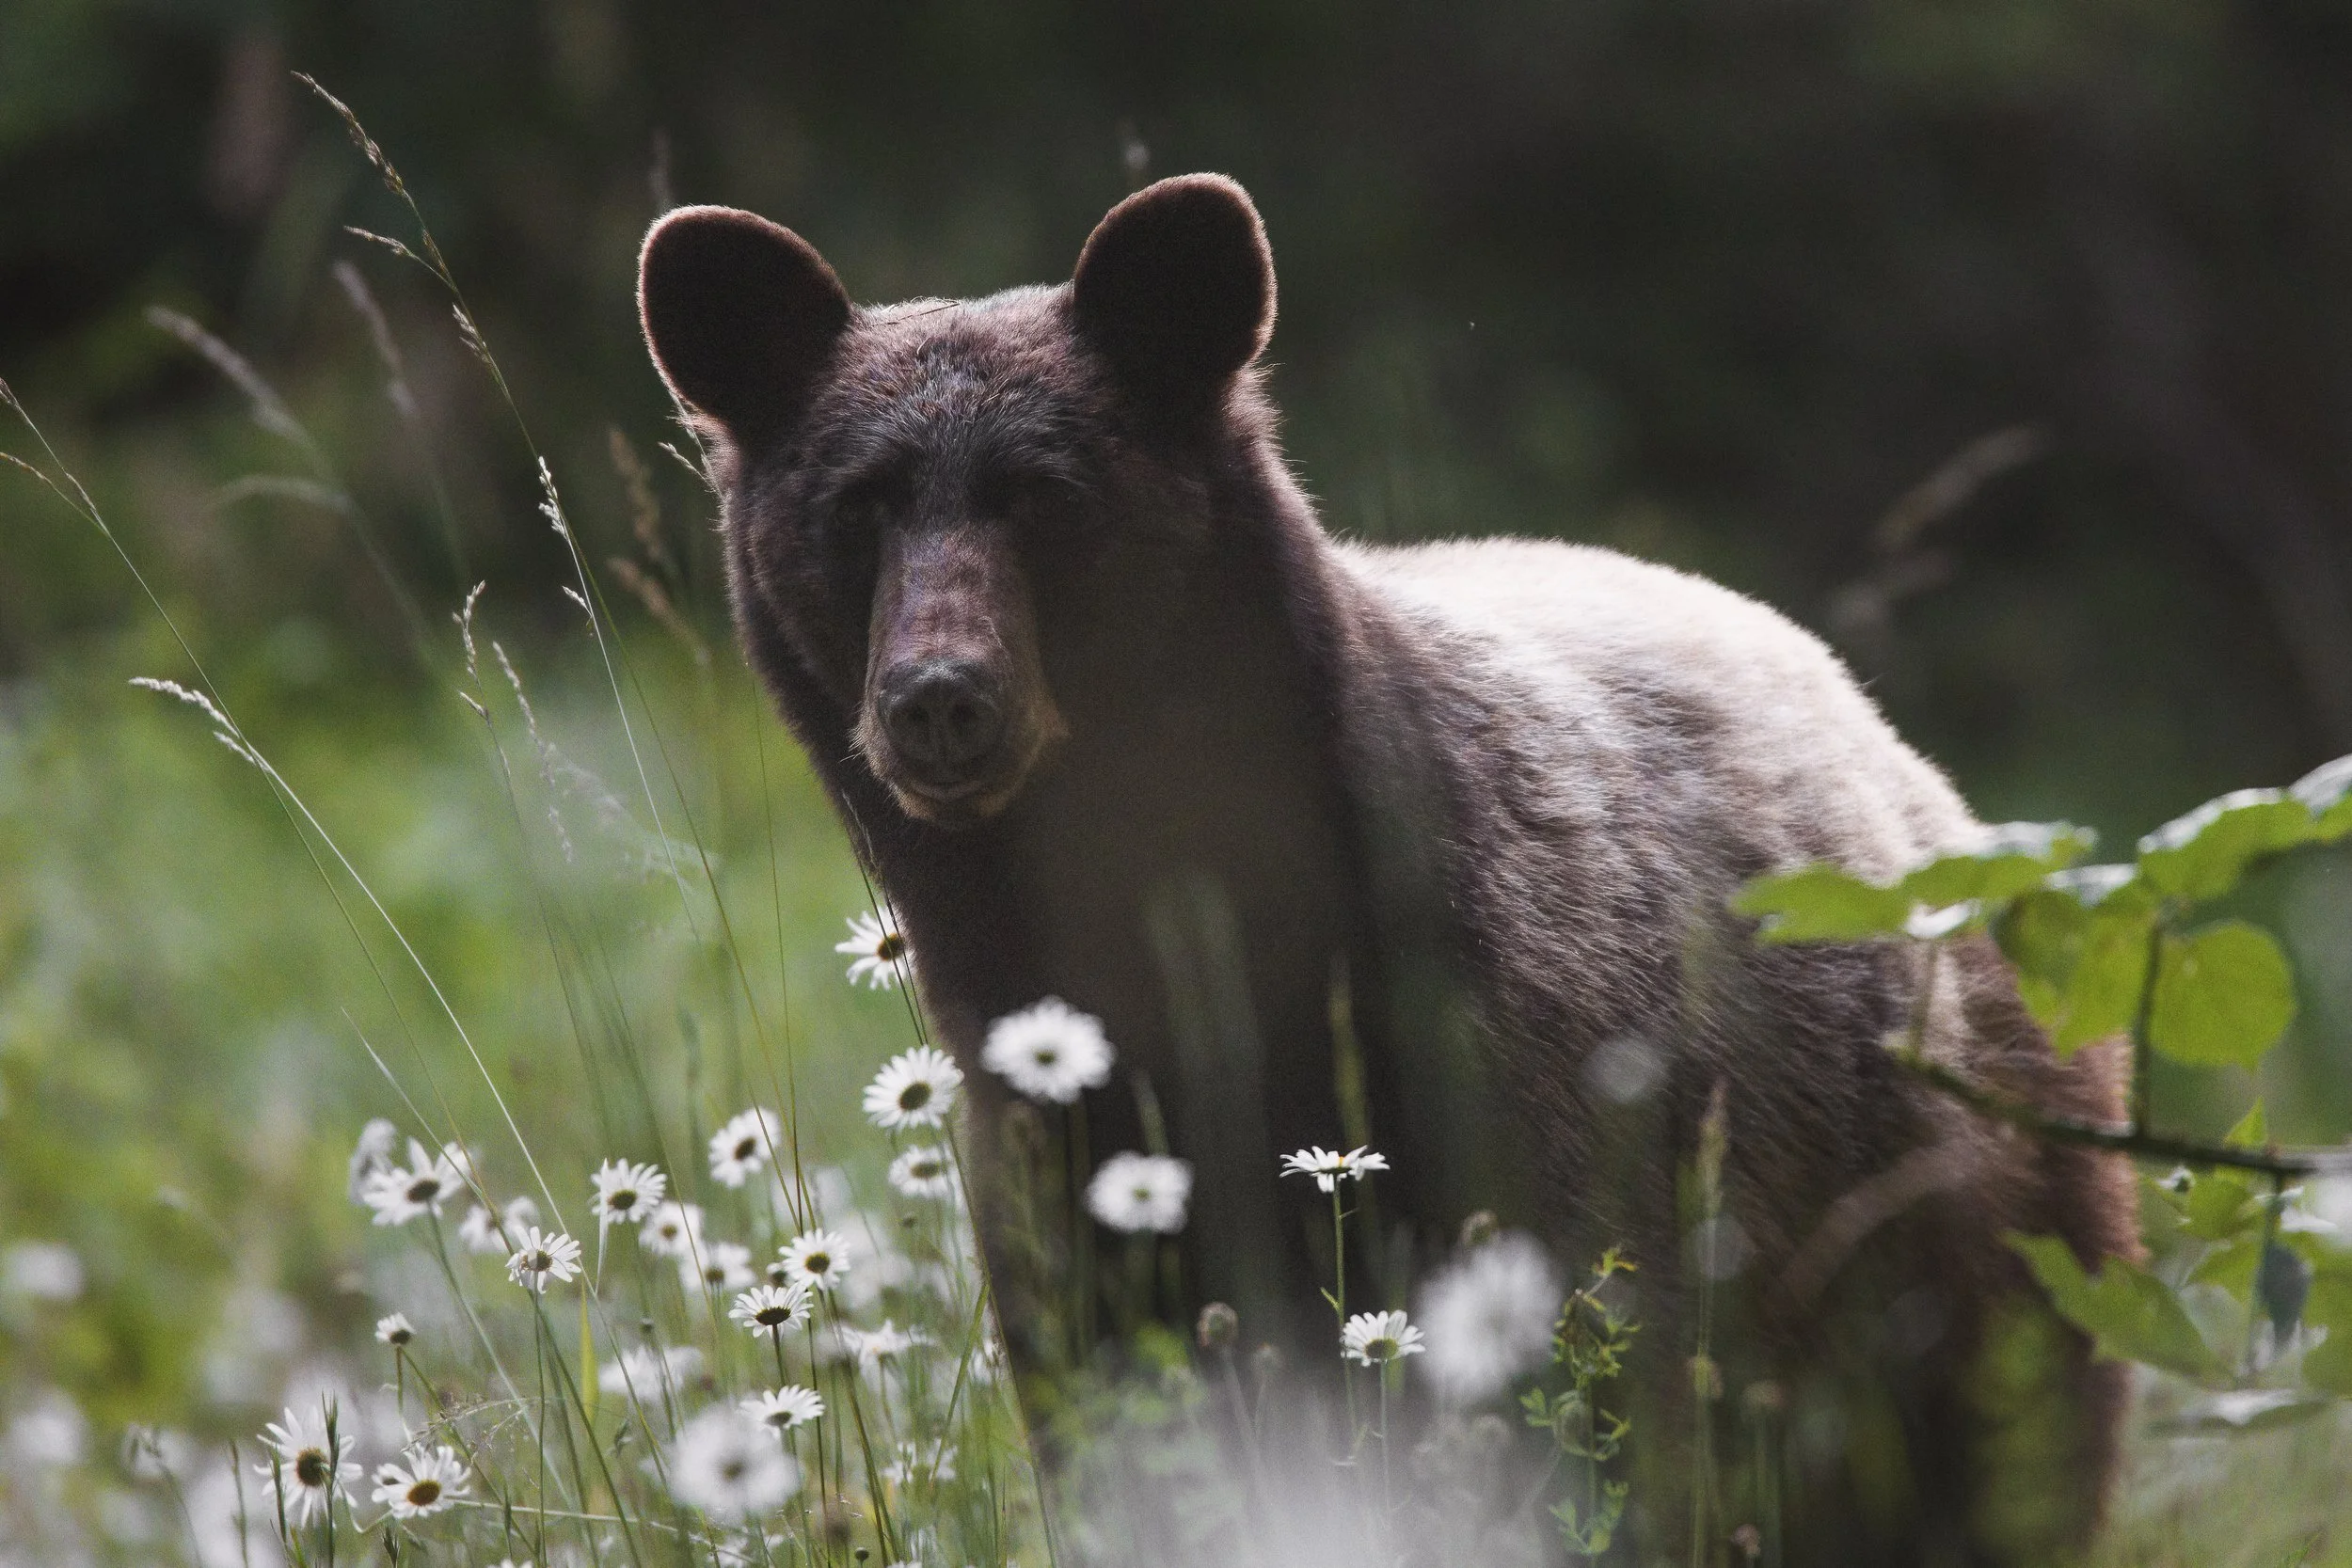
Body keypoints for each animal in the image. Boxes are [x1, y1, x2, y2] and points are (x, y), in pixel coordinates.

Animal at [638, 174, 2139, 1565]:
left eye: (1047, 499)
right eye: (856, 509)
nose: (941, 698)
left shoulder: (1527, 1065)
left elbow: (1584, 1395)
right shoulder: (1060, 1155)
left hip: (1958, 1207)